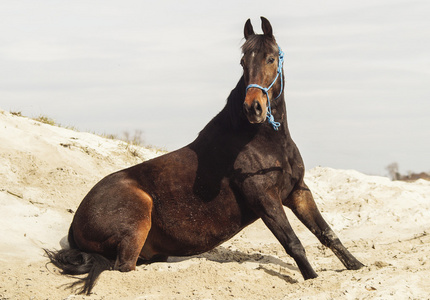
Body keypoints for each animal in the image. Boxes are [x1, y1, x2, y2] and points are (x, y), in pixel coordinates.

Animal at [46, 17, 362, 296]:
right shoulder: (264, 197)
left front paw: (357, 266)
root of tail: (76, 221)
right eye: (243, 62)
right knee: (123, 268)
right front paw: (312, 278)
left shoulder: (297, 191)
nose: (254, 108)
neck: (261, 140)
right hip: (136, 224)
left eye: (271, 59)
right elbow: (294, 243)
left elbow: (327, 234)